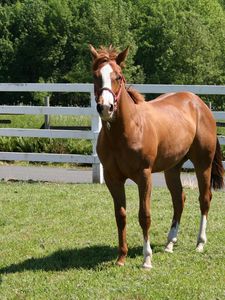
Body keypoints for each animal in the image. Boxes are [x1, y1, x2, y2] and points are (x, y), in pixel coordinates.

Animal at [89, 44, 224, 270]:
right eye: (96, 76)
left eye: (118, 76)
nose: (105, 107)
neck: (126, 130)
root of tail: (199, 103)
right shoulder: (112, 178)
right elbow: (120, 215)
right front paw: (121, 257)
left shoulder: (144, 176)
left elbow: (144, 215)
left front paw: (147, 259)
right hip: (172, 169)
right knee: (179, 200)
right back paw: (170, 243)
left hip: (202, 164)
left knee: (204, 199)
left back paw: (199, 243)